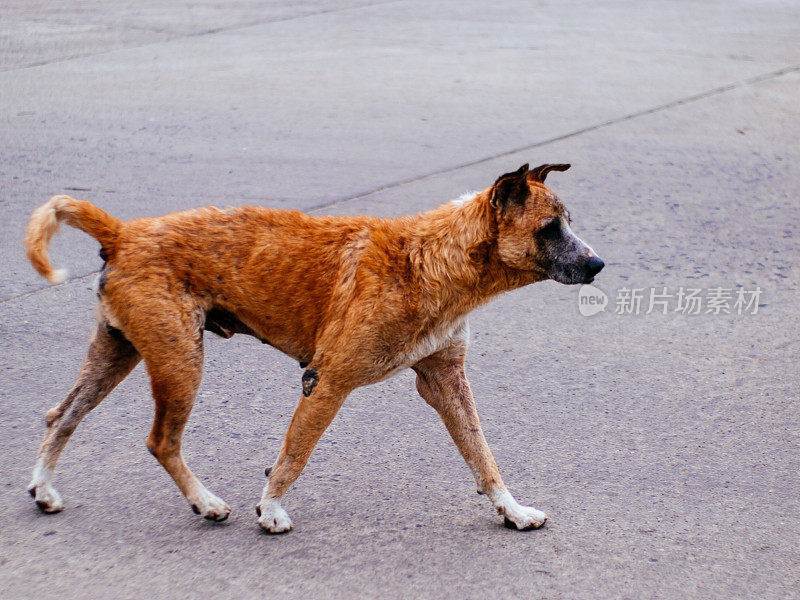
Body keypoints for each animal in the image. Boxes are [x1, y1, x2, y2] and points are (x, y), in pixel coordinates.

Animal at [25, 163, 604, 528]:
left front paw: (513, 509)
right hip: (179, 361)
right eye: (550, 228)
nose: (598, 264)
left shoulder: (446, 381)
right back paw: (206, 503)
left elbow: (482, 455)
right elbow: (295, 453)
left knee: (61, 416)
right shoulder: (327, 382)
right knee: (160, 441)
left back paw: (44, 488)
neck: (428, 259)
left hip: (119, 352)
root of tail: (124, 232)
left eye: (568, 223)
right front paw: (270, 508)